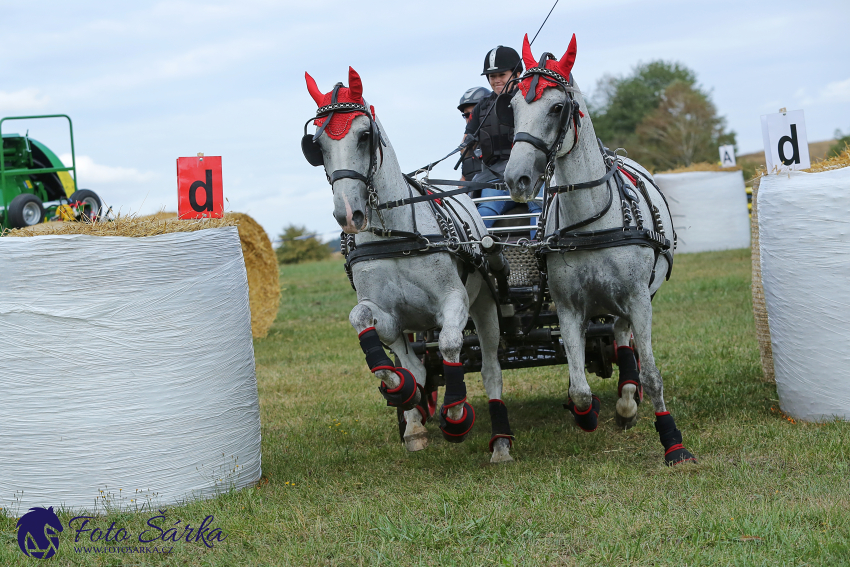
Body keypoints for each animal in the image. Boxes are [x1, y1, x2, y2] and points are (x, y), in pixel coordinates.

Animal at [300, 69, 510, 464]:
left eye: (364, 135)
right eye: (316, 146)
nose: (348, 214)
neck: (396, 233)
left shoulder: (454, 302)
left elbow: (450, 345)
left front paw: (456, 415)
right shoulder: (387, 314)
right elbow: (368, 329)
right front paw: (404, 395)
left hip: (486, 306)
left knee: (491, 369)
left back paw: (501, 442)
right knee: (415, 363)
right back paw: (413, 417)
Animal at [500, 34, 692, 466]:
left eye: (557, 107)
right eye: (514, 107)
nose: (516, 178)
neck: (590, 224)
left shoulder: (639, 299)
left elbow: (653, 374)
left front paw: (672, 441)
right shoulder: (569, 307)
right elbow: (579, 387)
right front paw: (586, 415)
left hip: (634, 297)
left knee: (623, 337)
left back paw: (628, 398)